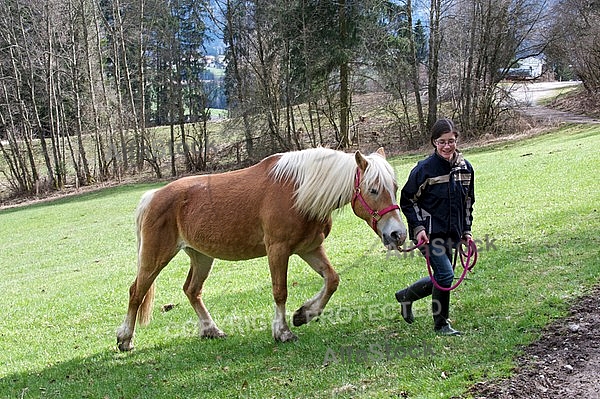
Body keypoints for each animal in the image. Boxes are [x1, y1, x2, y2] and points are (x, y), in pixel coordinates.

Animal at [116, 146, 408, 350]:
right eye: (373, 190)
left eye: (394, 187)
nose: (398, 234)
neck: (298, 191)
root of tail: (153, 195)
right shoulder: (278, 250)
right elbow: (280, 291)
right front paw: (283, 332)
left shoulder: (310, 248)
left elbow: (332, 280)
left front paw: (304, 314)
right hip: (155, 257)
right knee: (136, 292)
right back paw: (125, 339)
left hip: (201, 257)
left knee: (191, 290)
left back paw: (211, 330)